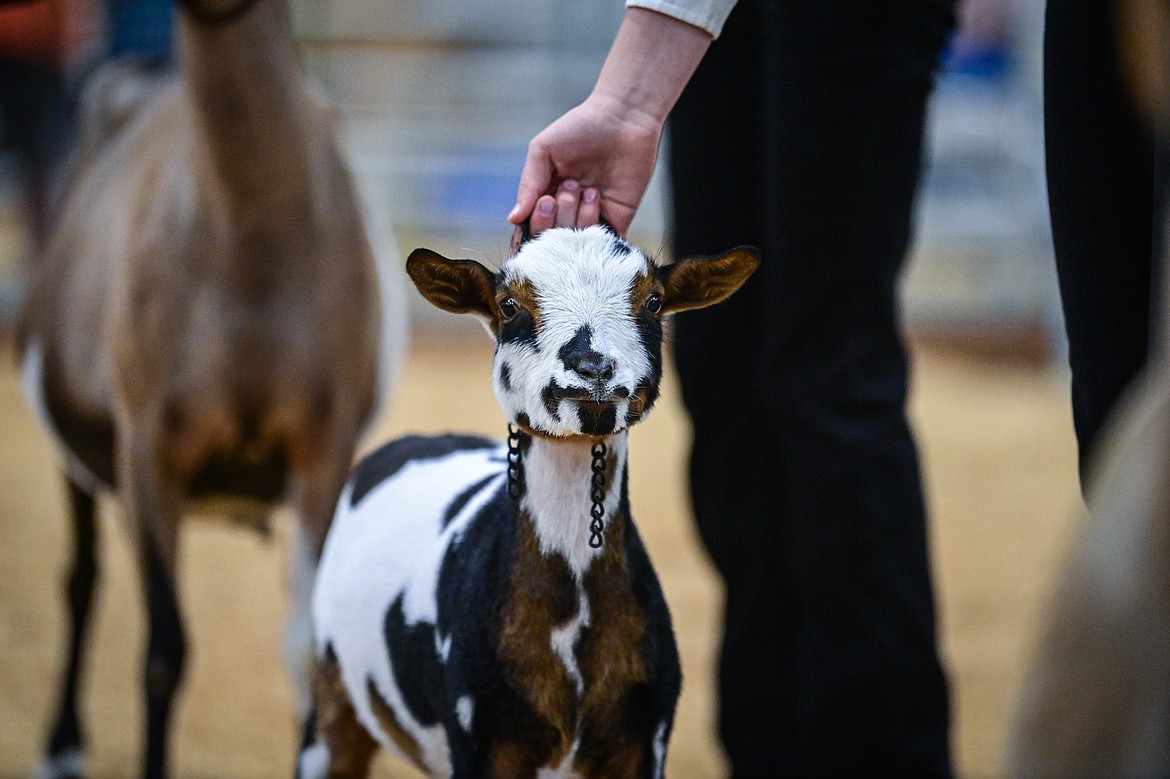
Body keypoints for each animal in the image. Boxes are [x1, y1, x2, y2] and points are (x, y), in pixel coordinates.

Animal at [14, 1, 397, 776]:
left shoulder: (324, 447)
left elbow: (305, 646)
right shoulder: (149, 453)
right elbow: (163, 652)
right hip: (78, 455)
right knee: (81, 578)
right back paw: (62, 743)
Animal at [299, 224, 758, 776]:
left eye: (652, 301)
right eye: (509, 305)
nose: (592, 368)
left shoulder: (644, 740)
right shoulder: (481, 740)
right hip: (330, 692)